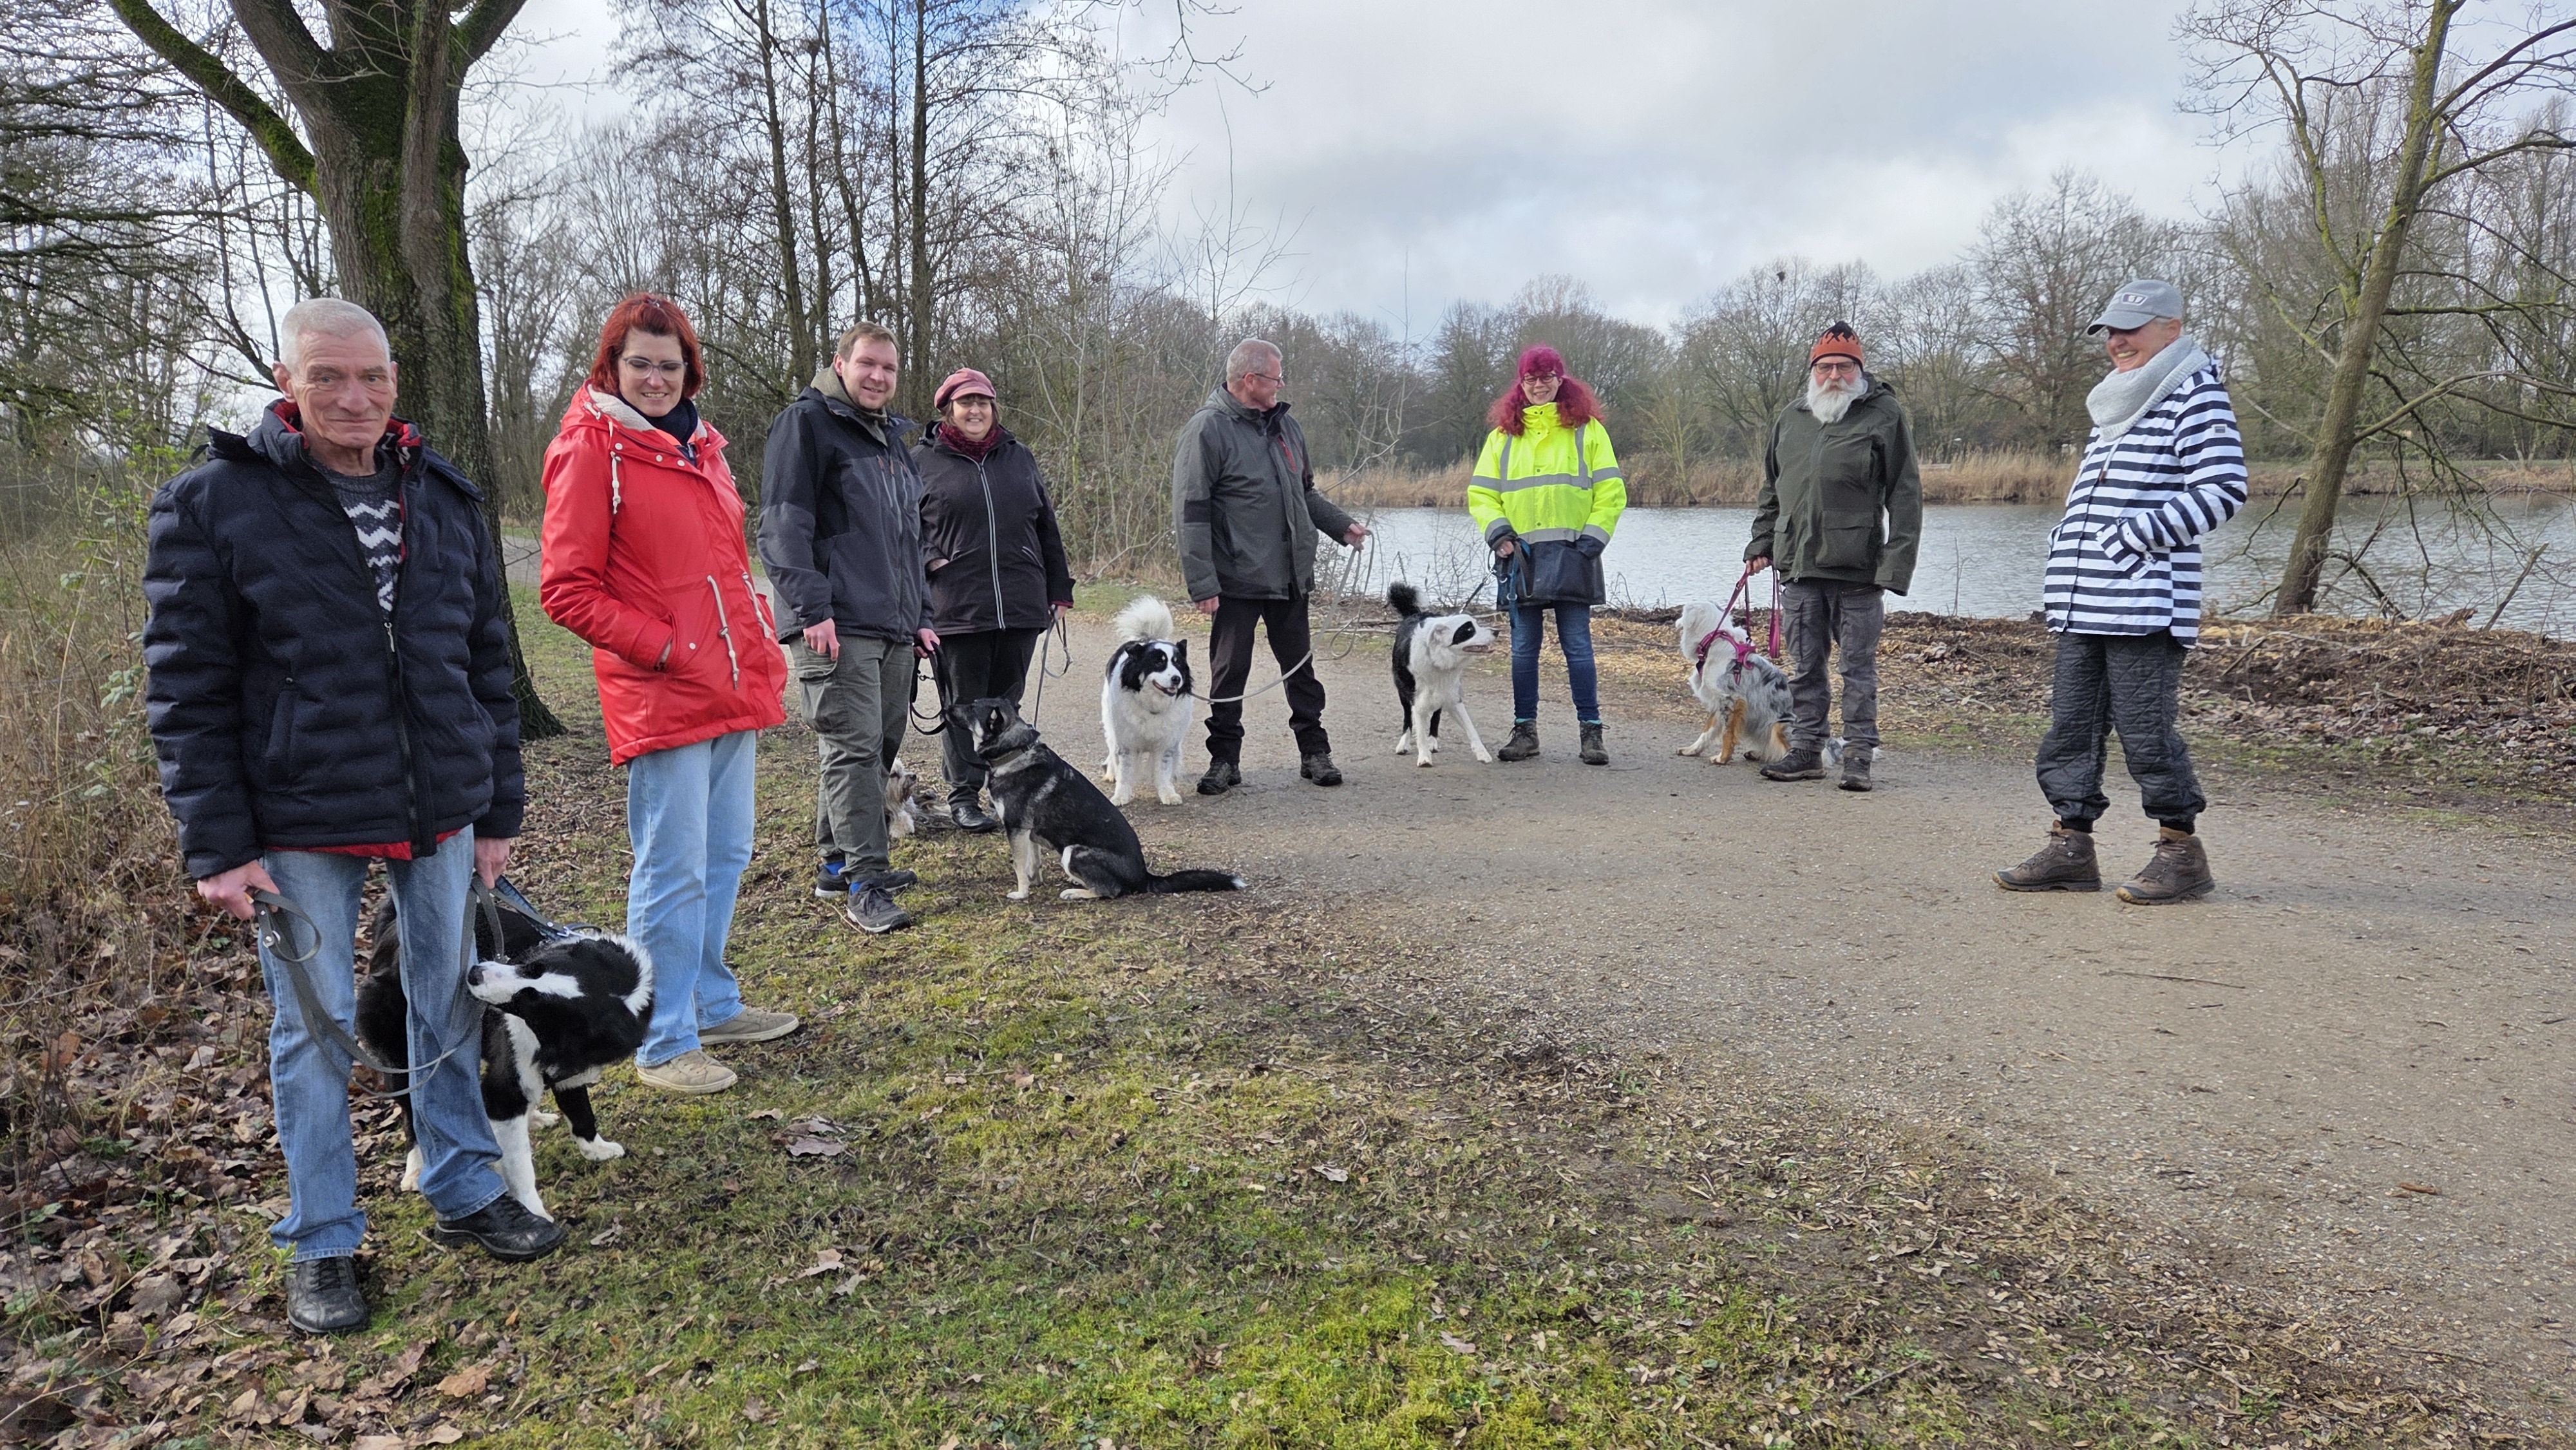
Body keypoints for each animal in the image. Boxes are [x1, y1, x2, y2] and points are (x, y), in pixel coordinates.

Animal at [358, 886, 652, 1221]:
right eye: (532, 968)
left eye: (533, 1001)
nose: (474, 973)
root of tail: (392, 921)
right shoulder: (506, 1089)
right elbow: (519, 1165)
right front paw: (533, 1212)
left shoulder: (570, 1069)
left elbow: (581, 1112)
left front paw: (596, 1149)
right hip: (402, 1054)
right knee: (410, 1111)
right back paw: (416, 1168)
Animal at [958, 697, 1246, 901]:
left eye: (971, 708)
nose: (950, 706)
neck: (1015, 752)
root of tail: (1144, 877)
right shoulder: (1026, 831)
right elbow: (1033, 862)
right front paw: (1034, 881)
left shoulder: (1015, 828)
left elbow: (1019, 865)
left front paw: (1021, 893)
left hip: (1073, 852)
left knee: (1110, 891)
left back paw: (1076, 892)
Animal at [1099, 595, 1195, 806]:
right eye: (1159, 662)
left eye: (1178, 663)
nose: (1177, 679)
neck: (1152, 705)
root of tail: (1146, 638)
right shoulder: (1126, 743)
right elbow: (1125, 772)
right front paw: (1120, 796)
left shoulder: (1166, 743)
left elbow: (1163, 769)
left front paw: (1167, 793)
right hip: (1110, 723)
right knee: (1111, 748)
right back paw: (1111, 773)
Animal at [1387, 582, 1498, 766]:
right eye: (1469, 629)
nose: (1496, 631)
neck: (1439, 660)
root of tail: (1414, 614)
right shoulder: (1418, 700)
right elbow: (1419, 731)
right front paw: (1424, 758)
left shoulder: (1453, 697)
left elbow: (1471, 728)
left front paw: (1482, 753)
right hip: (1403, 691)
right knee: (1407, 718)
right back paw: (1404, 743)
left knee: (1436, 715)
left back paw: (1433, 740)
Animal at [1674, 600, 1795, 764]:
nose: (1676, 622)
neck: (1713, 642)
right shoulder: (1718, 701)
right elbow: (1707, 730)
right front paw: (1692, 750)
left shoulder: (1731, 700)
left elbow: (1727, 733)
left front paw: (1722, 758)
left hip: (1779, 726)